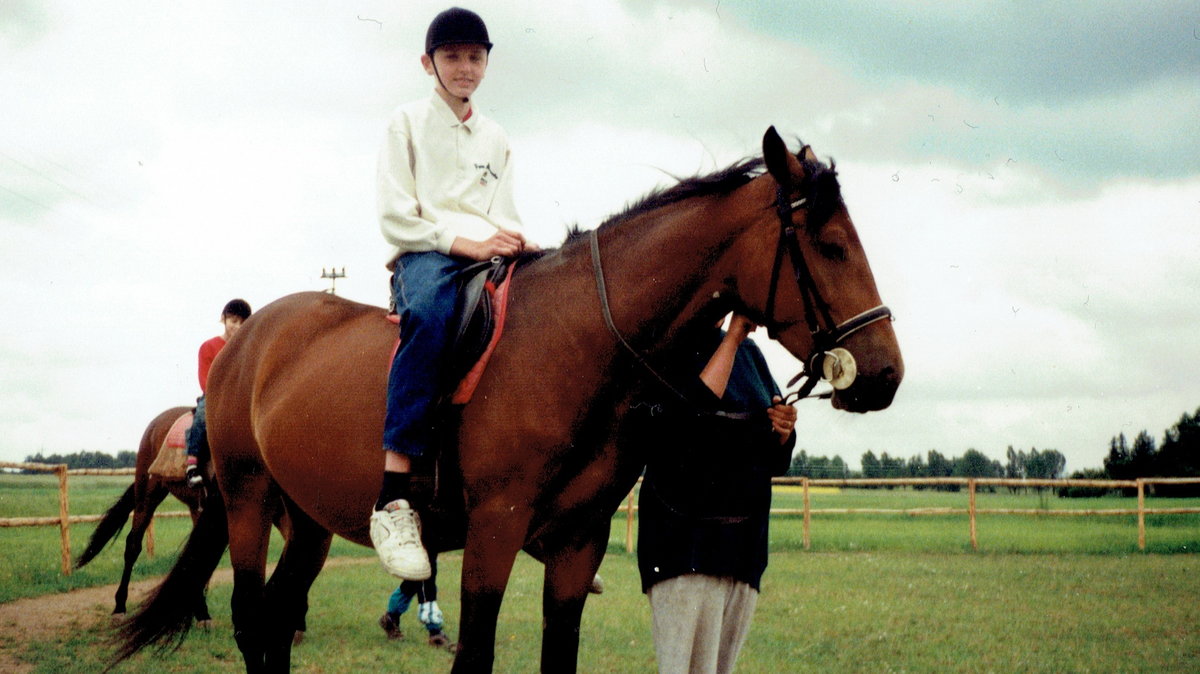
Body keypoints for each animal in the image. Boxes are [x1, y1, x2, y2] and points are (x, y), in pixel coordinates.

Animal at [117, 128, 902, 666]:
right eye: (830, 245)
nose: (886, 373)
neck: (575, 340)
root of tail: (249, 344)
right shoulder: (494, 534)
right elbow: (475, 656)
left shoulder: (578, 545)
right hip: (249, 501)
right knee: (252, 619)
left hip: (308, 518)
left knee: (279, 620)